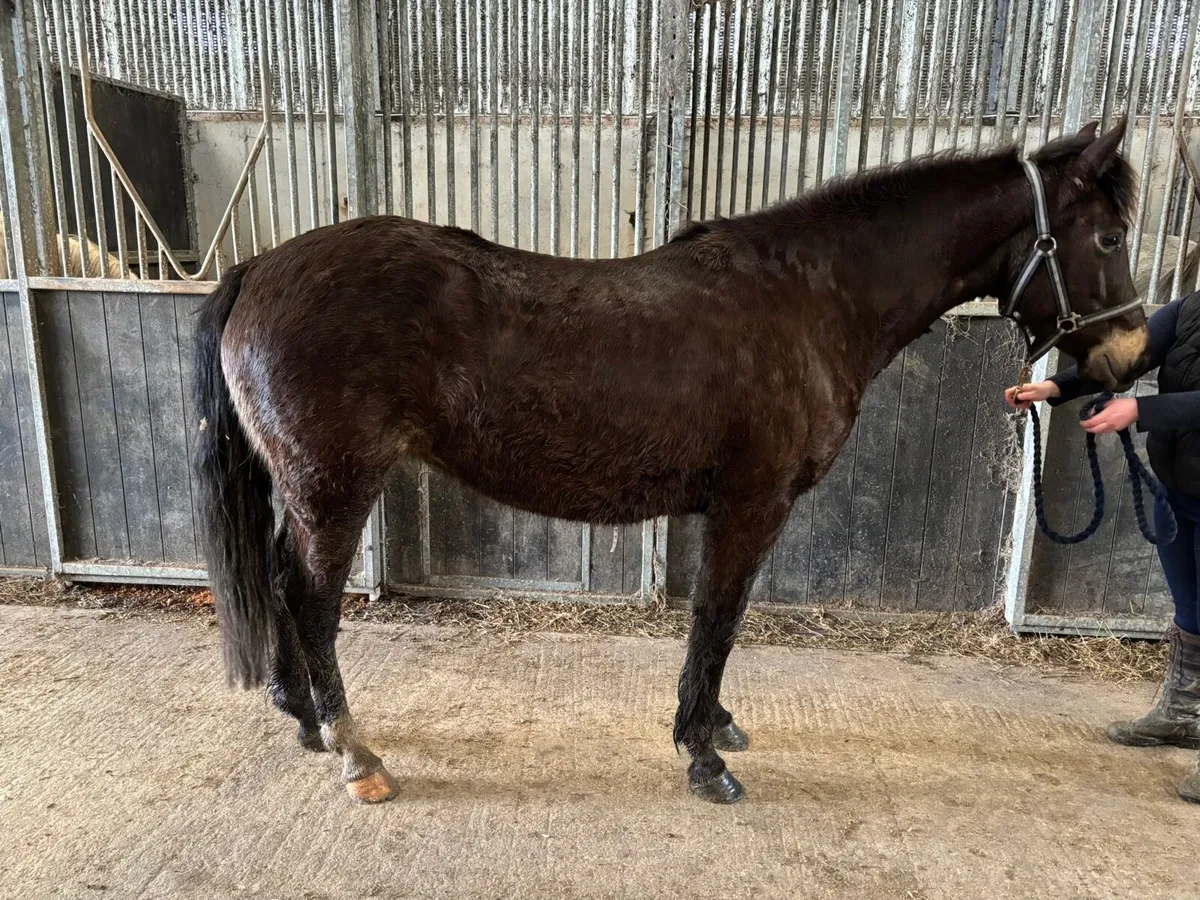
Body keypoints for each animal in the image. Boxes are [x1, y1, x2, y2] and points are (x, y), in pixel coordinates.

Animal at [194, 119, 1147, 805]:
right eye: (1107, 239)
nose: (1132, 355)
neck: (814, 297)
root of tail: (259, 268)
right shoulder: (752, 503)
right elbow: (717, 620)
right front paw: (702, 755)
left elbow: (721, 622)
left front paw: (715, 724)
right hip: (334, 487)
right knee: (310, 601)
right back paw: (356, 754)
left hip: (302, 489)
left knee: (280, 582)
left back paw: (304, 719)